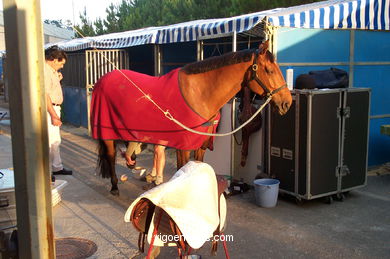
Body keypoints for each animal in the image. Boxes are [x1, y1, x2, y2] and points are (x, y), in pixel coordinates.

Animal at [93, 41, 290, 195]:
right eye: (269, 70)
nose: (286, 103)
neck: (199, 95)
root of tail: (102, 80)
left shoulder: (201, 146)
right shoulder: (183, 147)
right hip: (107, 132)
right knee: (111, 155)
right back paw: (115, 186)